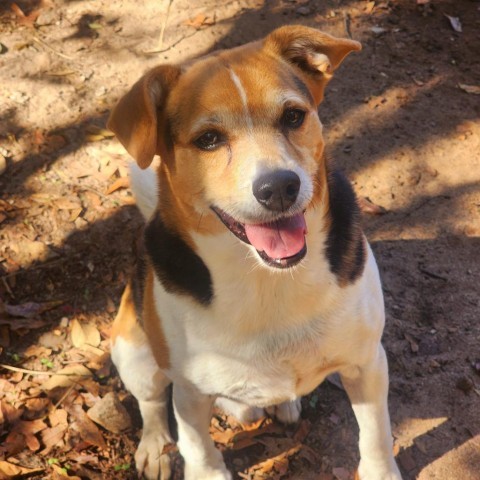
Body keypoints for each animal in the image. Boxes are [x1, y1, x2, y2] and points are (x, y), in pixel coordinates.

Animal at [108, 26, 402, 480]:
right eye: (208, 139)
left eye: (293, 116)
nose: (279, 187)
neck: (267, 279)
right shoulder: (190, 394)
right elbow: (199, 450)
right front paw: (201, 466)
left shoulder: (367, 362)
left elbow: (376, 436)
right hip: (134, 352)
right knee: (153, 401)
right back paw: (156, 445)